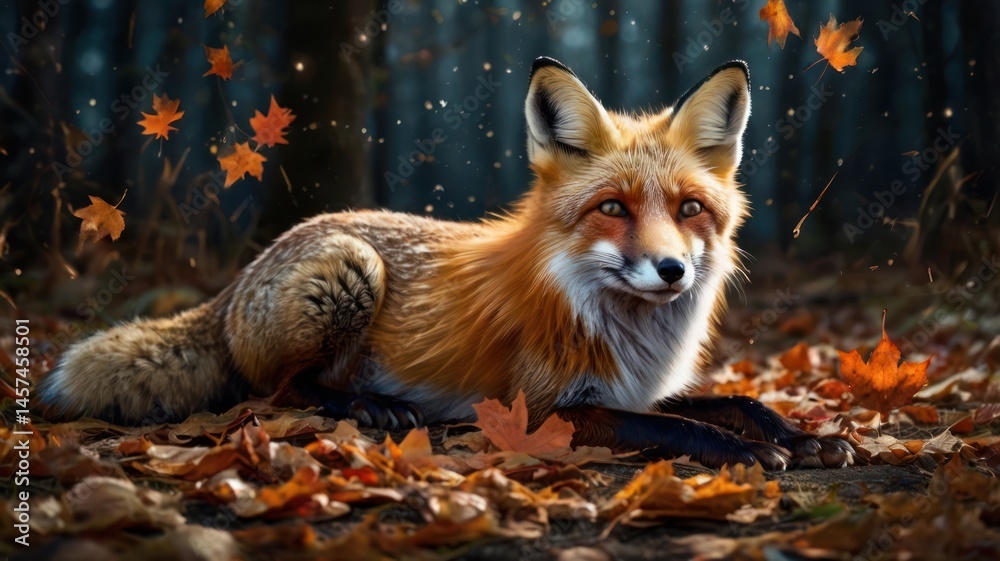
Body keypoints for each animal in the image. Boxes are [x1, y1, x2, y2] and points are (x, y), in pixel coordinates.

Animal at [38, 57, 853, 470]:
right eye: (612, 208)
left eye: (689, 209)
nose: (671, 270)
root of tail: (238, 279)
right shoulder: (551, 407)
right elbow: (682, 428)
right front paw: (746, 452)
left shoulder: (638, 387)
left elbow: (737, 402)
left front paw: (802, 436)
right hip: (350, 268)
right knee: (279, 392)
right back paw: (372, 406)